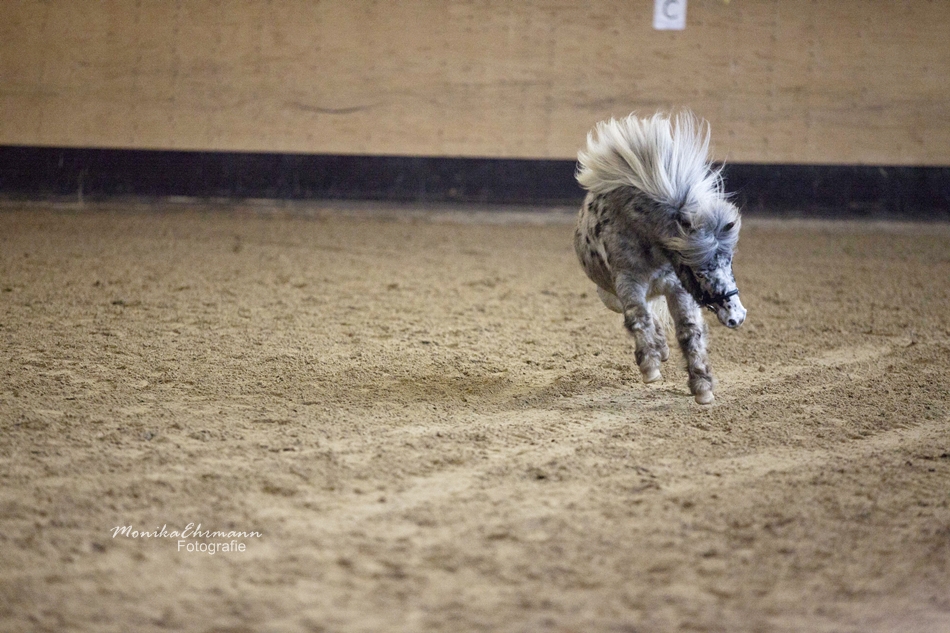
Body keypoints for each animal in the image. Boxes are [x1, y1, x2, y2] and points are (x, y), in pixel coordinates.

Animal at [576, 111, 748, 402]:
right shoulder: (628, 282)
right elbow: (638, 317)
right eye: (699, 271)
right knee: (641, 315)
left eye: (730, 262)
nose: (737, 316)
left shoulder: (677, 289)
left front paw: (702, 386)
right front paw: (650, 368)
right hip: (609, 296)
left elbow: (689, 331)